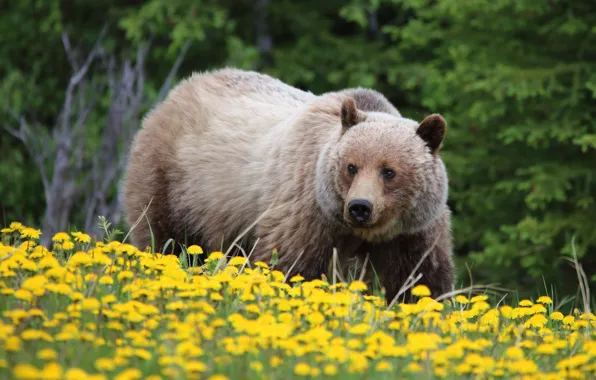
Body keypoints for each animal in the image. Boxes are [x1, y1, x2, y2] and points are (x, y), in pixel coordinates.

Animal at [122, 67, 456, 302]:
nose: (360, 207)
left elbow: (420, 279)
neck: (364, 233)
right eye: (352, 166)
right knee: (164, 237)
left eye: (389, 171)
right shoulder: (308, 210)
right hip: (176, 181)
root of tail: (180, 90)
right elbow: (290, 265)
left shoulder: (412, 233)